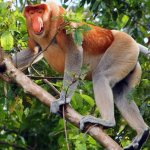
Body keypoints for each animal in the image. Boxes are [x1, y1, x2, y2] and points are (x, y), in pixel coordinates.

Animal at [23, 2, 149, 150]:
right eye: (32, 13)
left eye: (39, 11)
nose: (36, 20)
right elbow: (32, 52)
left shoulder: (61, 19)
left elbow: (75, 52)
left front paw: (62, 100)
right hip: (130, 62)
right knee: (121, 93)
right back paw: (142, 132)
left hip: (123, 48)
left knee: (101, 76)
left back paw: (107, 121)